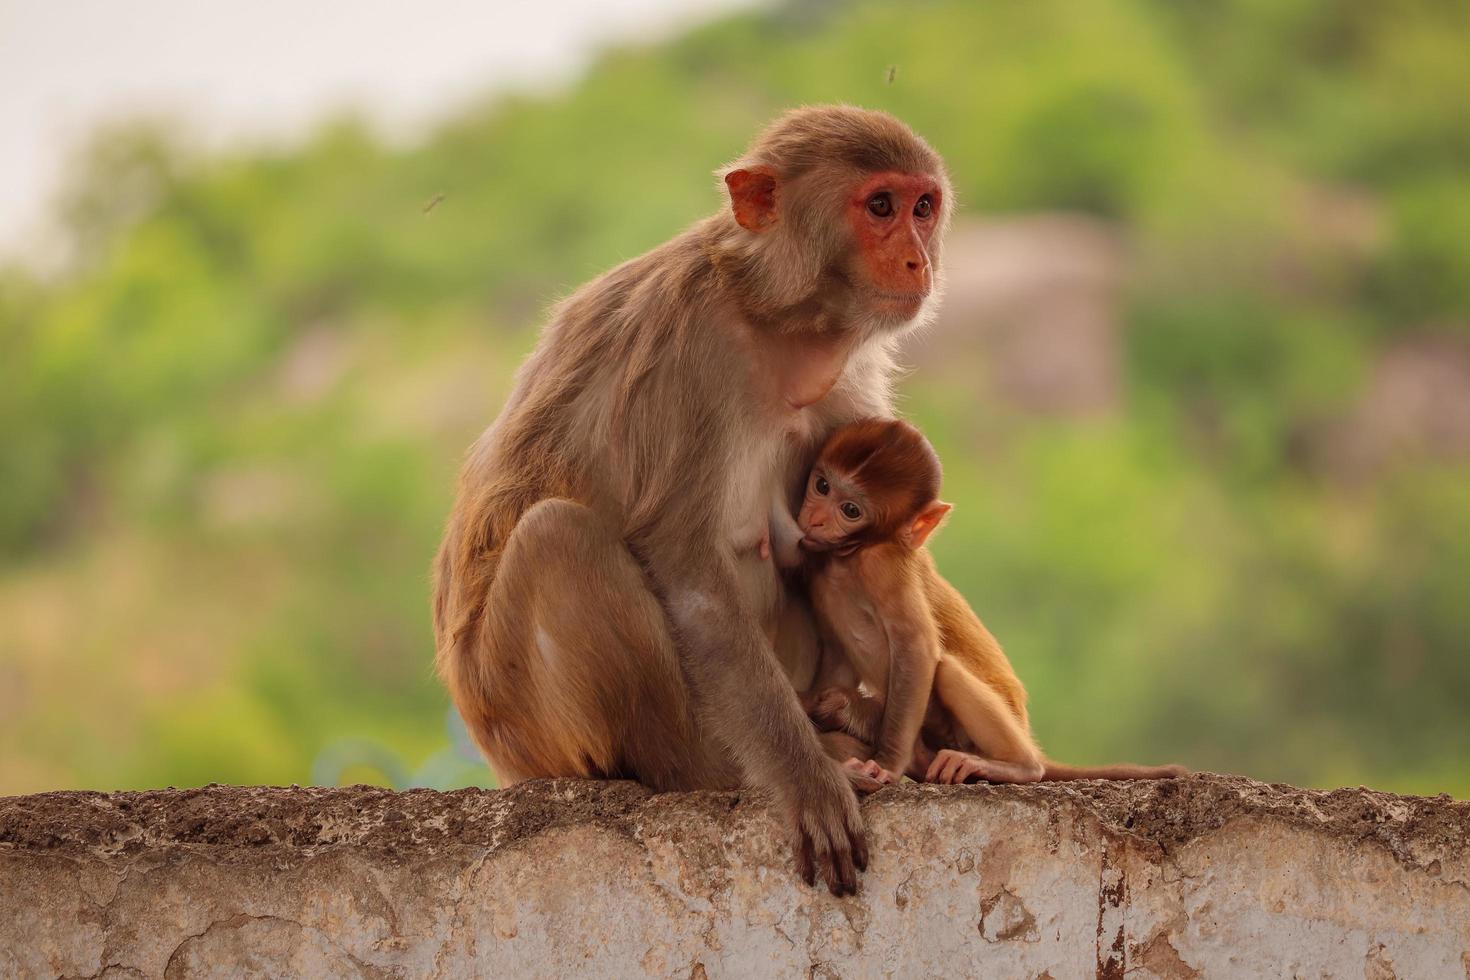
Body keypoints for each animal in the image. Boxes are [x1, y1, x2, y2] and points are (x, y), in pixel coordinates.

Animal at [429, 109, 952, 899]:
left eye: (924, 207)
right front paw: (808, 783)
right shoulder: (684, 357)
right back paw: (708, 771)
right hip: (529, 725)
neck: (772, 318)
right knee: (559, 537)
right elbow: (690, 572)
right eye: (881, 206)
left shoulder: (841, 383)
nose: (921, 260)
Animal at [793, 417, 1181, 787]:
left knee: (946, 672)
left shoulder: (883, 568)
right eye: (822, 486)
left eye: (850, 510)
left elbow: (917, 649)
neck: (848, 559)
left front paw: (887, 764)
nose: (815, 518)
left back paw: (1018, 767)